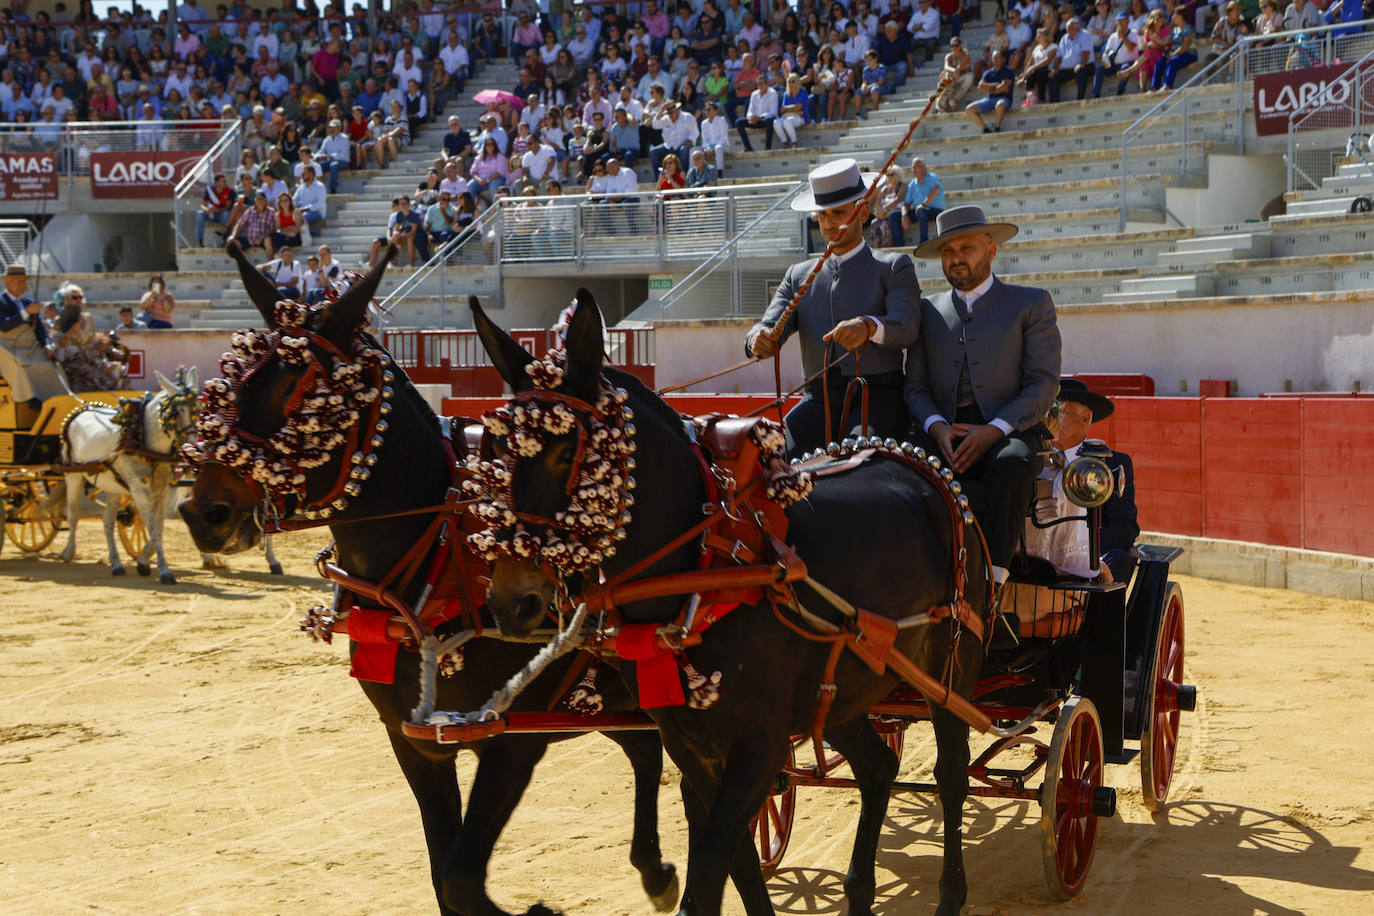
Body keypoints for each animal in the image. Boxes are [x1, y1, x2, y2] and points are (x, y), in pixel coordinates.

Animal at [60, 368, 200, 585]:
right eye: (176, 412)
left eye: (199, 408)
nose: (193, 446)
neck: (141, 438)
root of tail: (82, 410)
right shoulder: (138, 488)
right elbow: (152, 526)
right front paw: (164, 570)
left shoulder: (161, 489)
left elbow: (158, 525)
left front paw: (144, 561)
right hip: (72, 475)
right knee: (73, 515)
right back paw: (68, 552)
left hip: (112, 486)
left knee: (107, 521)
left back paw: (116, 564)